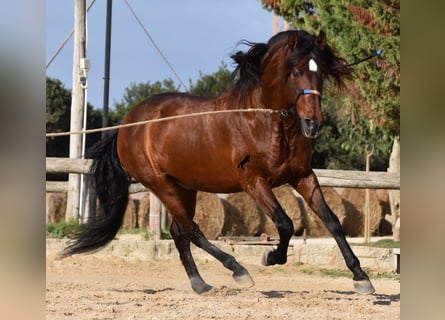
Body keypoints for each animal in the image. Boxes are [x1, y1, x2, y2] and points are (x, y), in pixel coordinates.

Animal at [61, 30, 374, 296]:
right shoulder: (254, 182)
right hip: (161, 185)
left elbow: (332, 221)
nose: (313, 123)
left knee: (179, 233)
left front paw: (361, 278)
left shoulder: (303, 176)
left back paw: (201, 285)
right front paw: (271, 256)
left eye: (320, 73)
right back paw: (238, 271)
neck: (264, 120)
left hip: (185, 187)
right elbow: (285, 224)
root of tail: (127, 126)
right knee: (192, 231)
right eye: (295, 72)